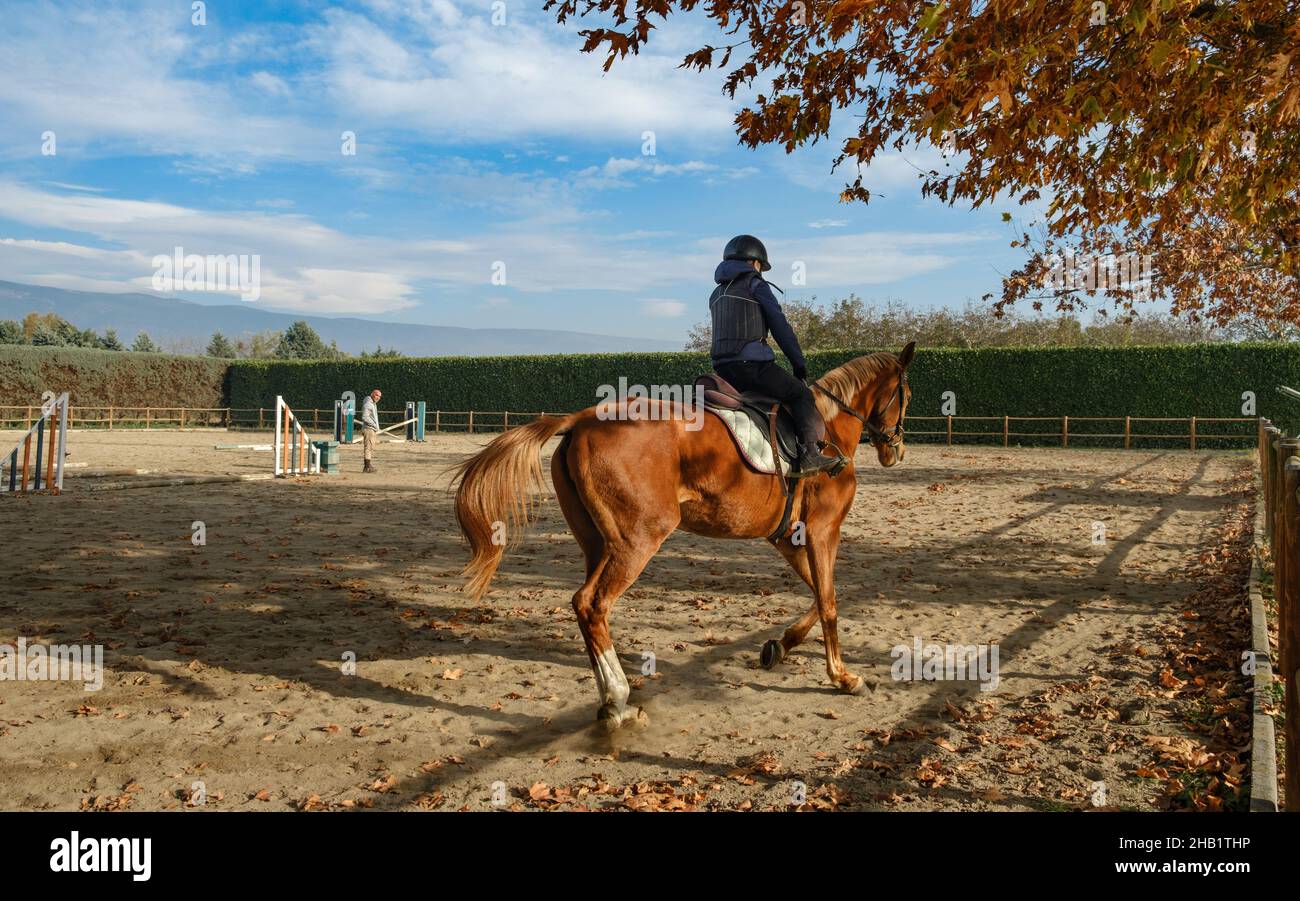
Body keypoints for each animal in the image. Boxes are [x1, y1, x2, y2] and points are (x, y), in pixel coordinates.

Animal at [452, 340, 920, 728]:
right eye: (907, 396)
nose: (895, 450)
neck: (829, 429)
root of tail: (583, 419)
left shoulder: (789, 538)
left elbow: (819, 594)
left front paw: (781, 645)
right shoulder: (823, 532)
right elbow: (829, 603)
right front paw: (843, 677)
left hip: (598, 543)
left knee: (585, 605)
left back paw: (611, 697)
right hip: (638, 540)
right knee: (592, 603)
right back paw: (618, 700)